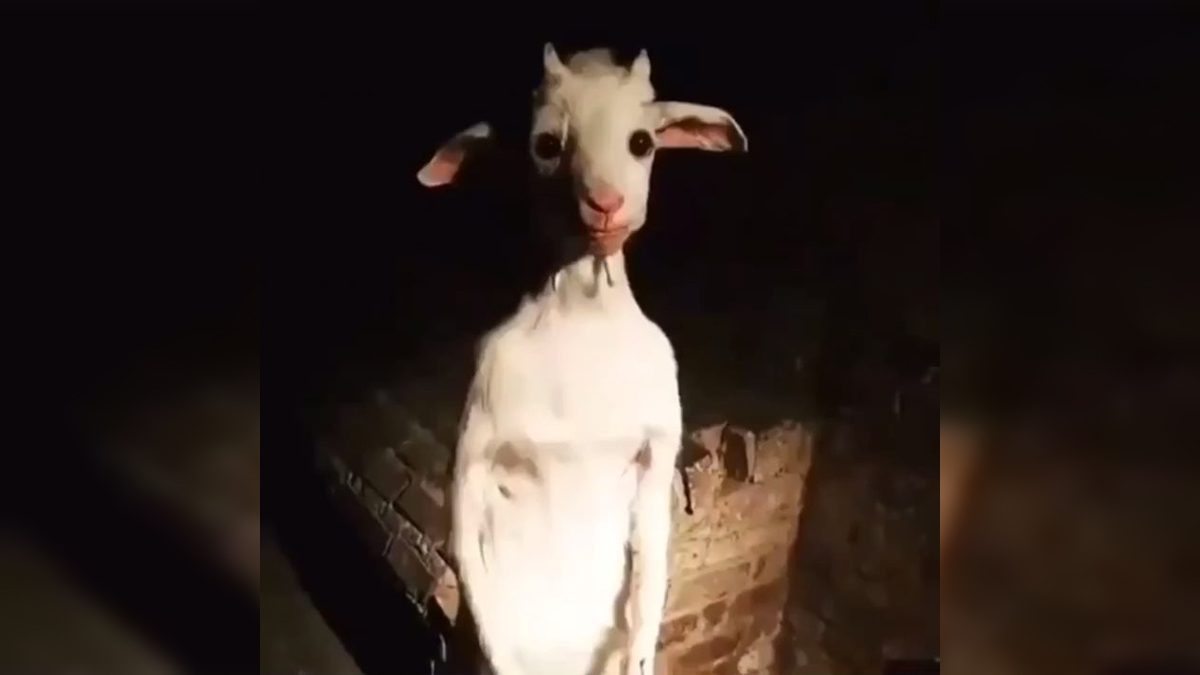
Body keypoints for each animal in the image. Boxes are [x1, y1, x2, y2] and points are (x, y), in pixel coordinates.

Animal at [417, 44, 747, 675]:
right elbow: (463, 527)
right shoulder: (479, 424)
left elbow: (653, 553)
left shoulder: (659, 436)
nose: (606, 204)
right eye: (546, 145)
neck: (584, 316)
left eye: (642, 142)